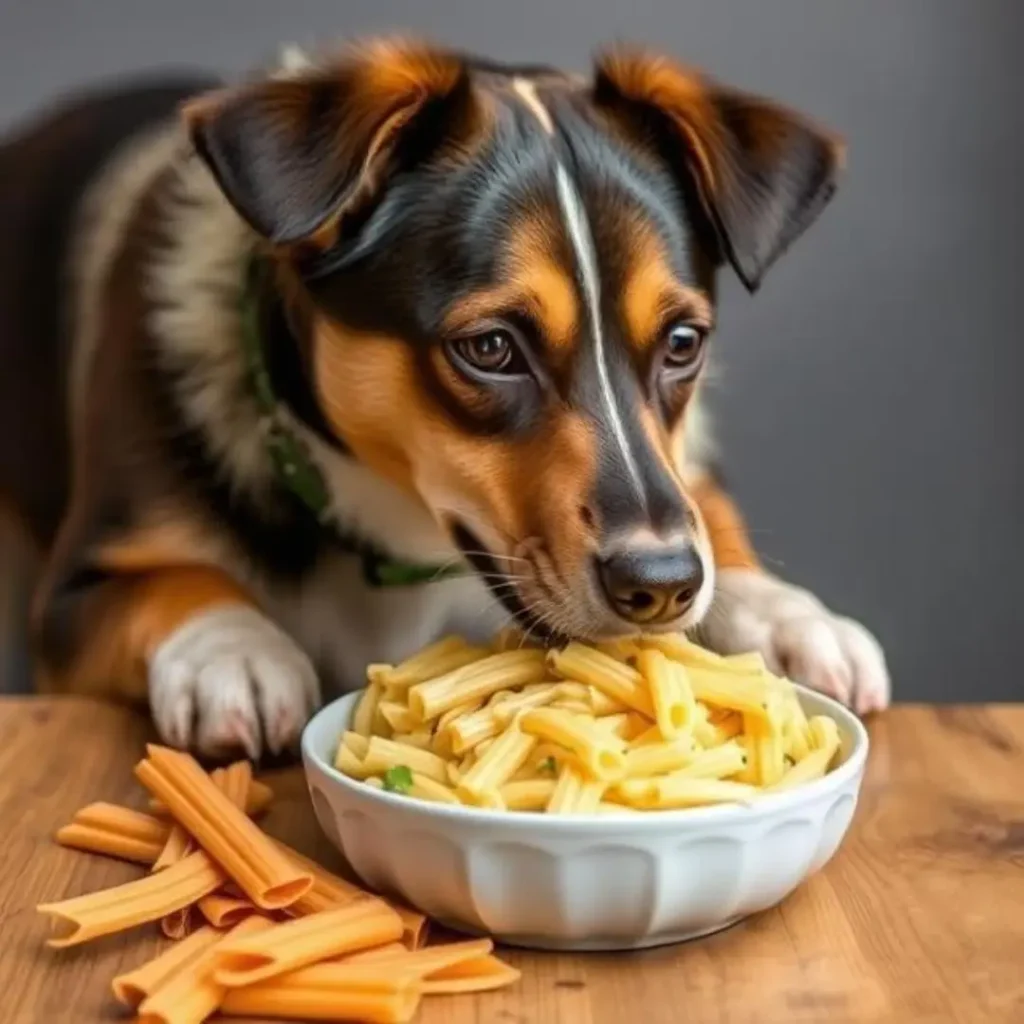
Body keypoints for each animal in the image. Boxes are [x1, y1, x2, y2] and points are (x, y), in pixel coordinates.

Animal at [0, 37, 888, 761]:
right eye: (489, 348)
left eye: (682, 343)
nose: (660, 583)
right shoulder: (71, 597)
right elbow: (174, 583)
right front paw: (235, 652)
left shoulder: (684, 479)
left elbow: (710, 517)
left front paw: (787, 617)